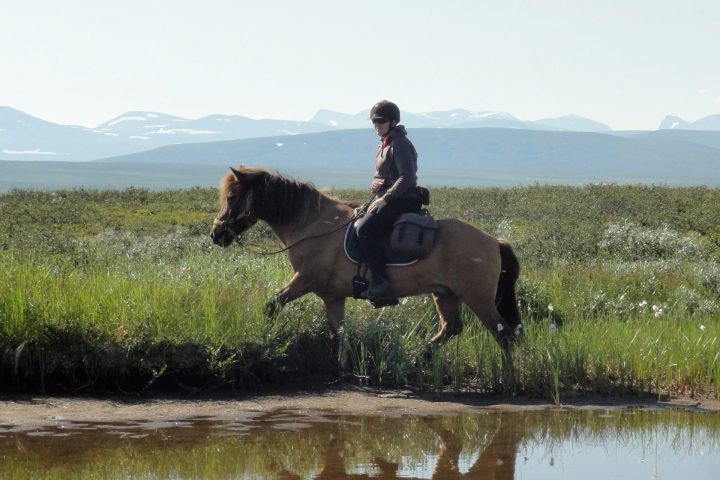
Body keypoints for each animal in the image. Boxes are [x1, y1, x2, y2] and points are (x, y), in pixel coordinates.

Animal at [210, 166, 521, 354]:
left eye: (232, 196)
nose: (216, 234)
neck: (311, 224)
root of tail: (494, 241)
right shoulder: (332, 296)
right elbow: (339, 335)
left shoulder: (305, 280)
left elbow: (272, 305)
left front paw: (267, 337)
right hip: (445, 294)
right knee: (451, 328)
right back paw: (420, 356)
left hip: (478, 298)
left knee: (504, 335)